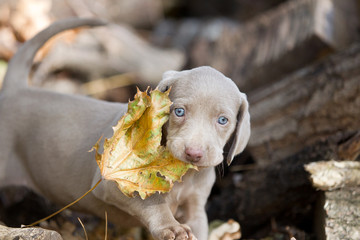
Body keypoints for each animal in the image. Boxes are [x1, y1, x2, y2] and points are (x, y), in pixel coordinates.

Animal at [0, 18, 250, 240]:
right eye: (179, 112)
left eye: (223, 120)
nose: (193, 153)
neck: (182, 173)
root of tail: (15, 89)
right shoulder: (111, 183)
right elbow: (152, 201)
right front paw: (171, 227)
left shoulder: (196, 207)